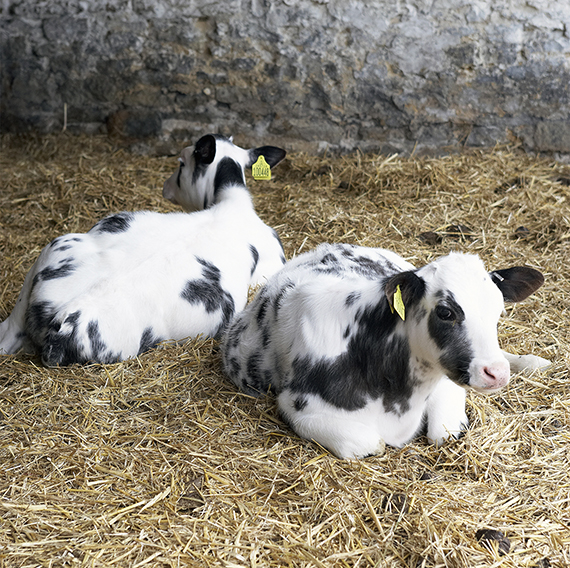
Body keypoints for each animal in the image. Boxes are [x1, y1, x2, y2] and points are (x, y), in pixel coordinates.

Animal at [221, 243, 544, 458]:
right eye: (445, 312)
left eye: (499, 309)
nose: (496, 373)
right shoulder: (297, 406)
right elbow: (371, 442)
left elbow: (444, 431)